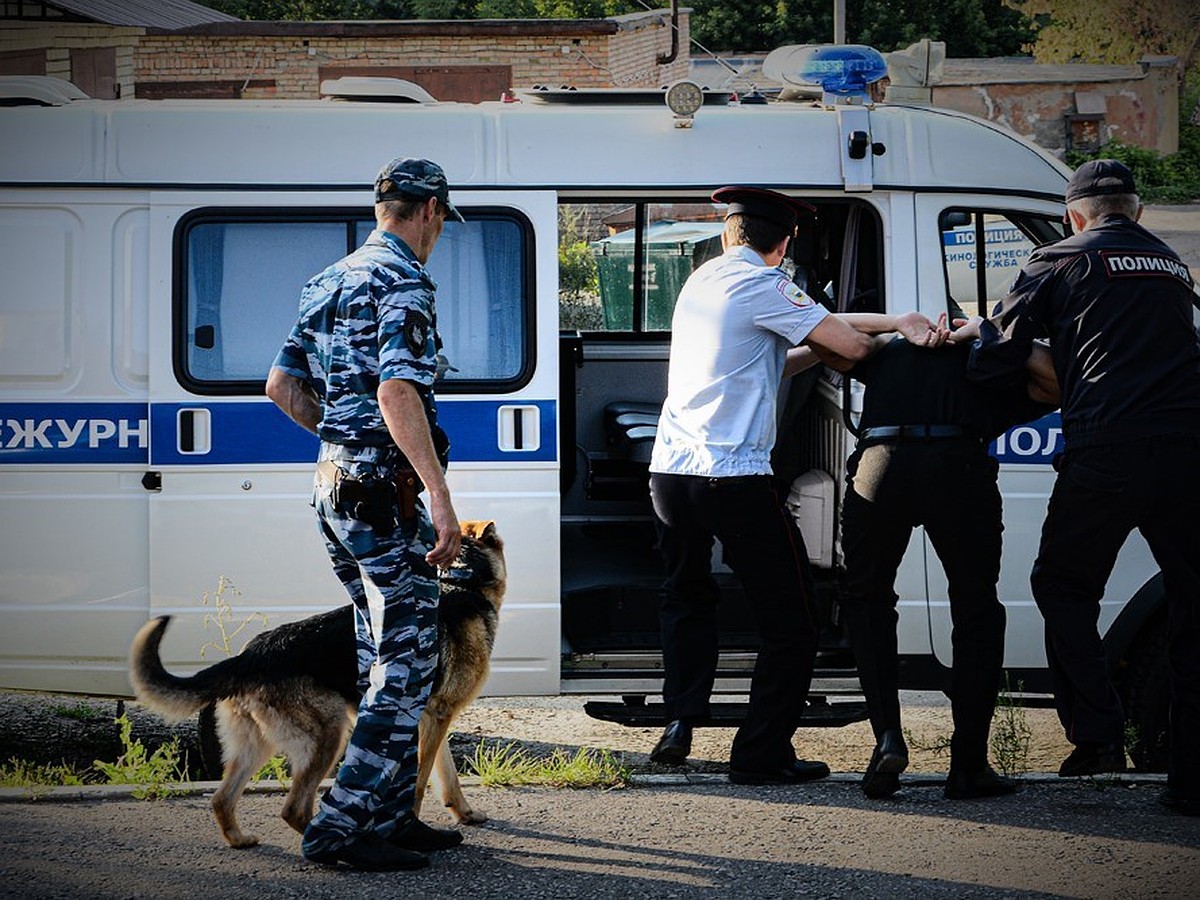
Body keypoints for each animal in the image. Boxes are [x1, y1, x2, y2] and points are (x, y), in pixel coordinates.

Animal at [129, 518, 504, 849]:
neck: (462, 581)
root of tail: (252, 654)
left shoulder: (433, 718)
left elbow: (447, 775)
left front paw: (464, 813)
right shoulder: (437, 716)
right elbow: (421, 782)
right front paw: (413, 825)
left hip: (256, 746)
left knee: (222, 799)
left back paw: (239, 839)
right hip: (330, 736)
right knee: (294, 808)